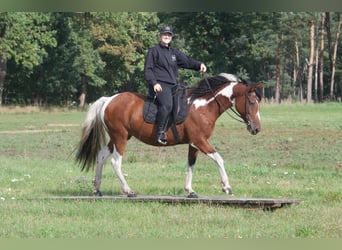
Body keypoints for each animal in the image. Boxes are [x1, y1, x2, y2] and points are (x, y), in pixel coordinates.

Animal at [76, 73, 264, 198]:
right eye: (251, 102)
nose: (256, 129)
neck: (204, 106)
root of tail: (108, 100)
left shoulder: (193, 144)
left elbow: (190, 165)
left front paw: (190, 190)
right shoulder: (200, 141)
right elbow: (219, 159)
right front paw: (226, 186)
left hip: (118, 137)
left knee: (101, 156)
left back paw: (97, 188)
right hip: (120, 137)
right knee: (116, 162)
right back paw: (128, 190)